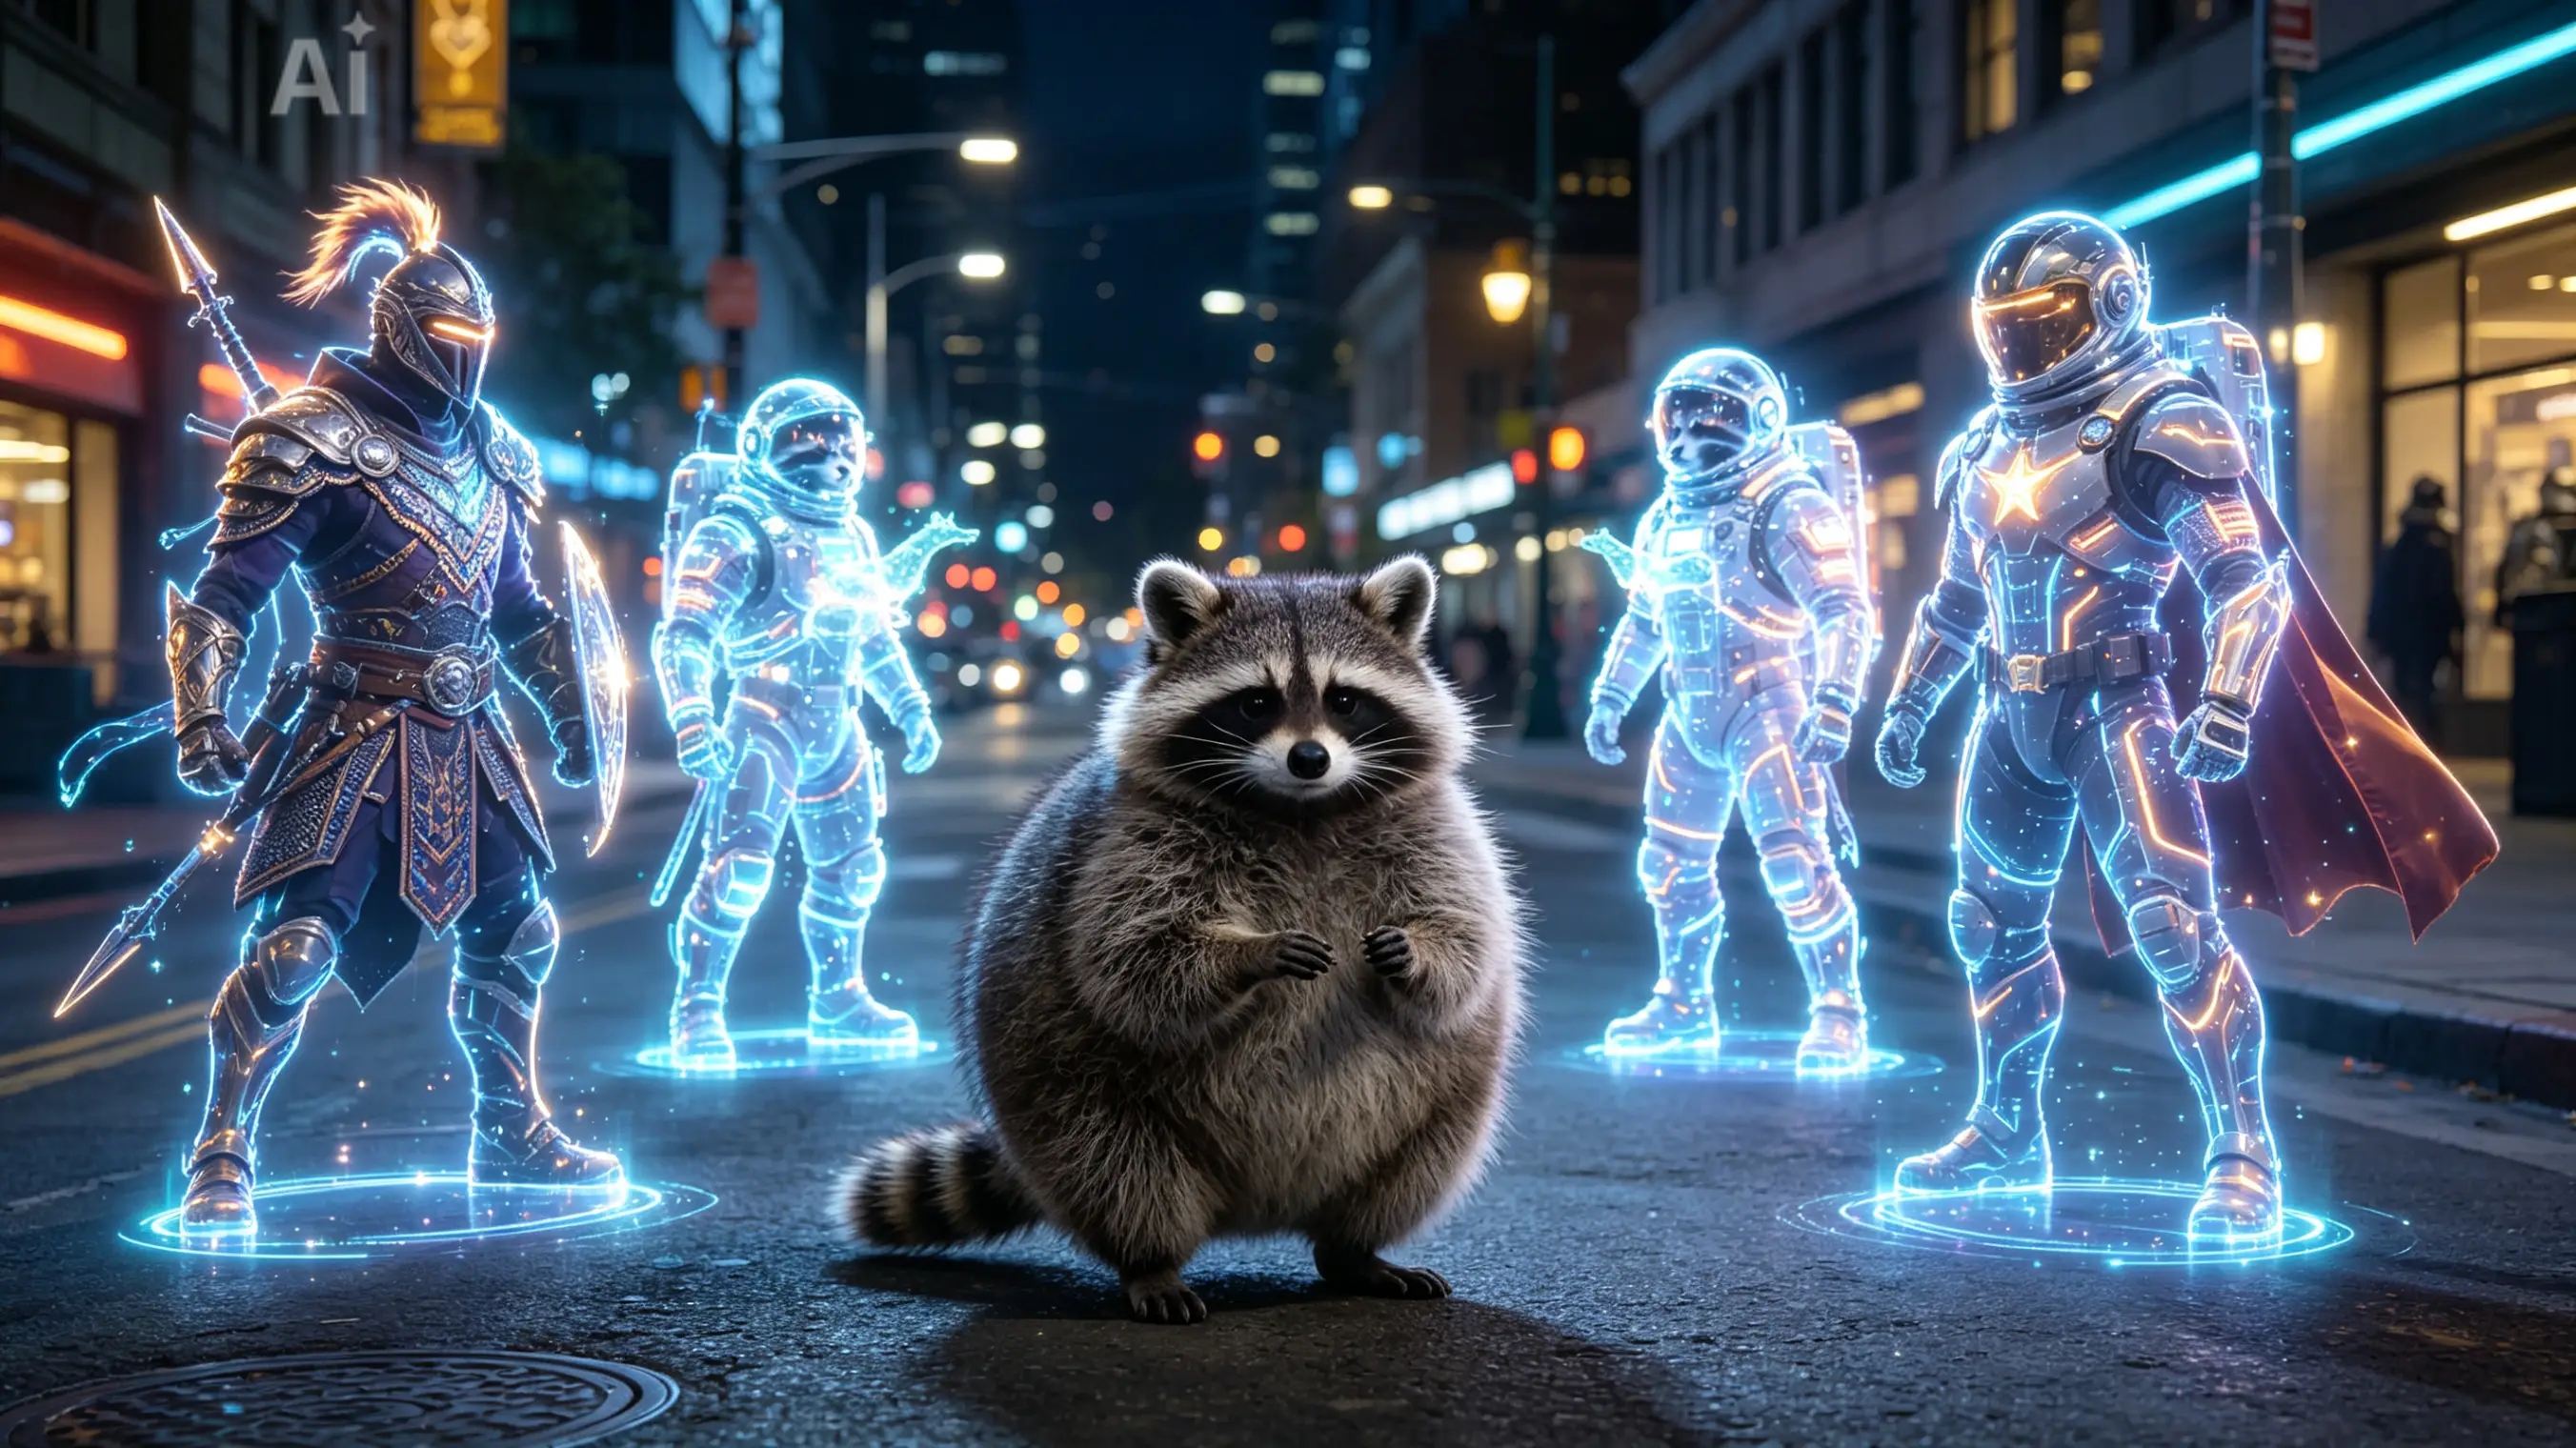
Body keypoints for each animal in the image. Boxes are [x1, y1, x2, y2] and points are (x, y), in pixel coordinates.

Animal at [841, 555, 1525, 1324]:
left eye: (1345, 700)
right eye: (1255, 703)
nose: (1310, 758)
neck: (1300, 811)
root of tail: (1264, 1208)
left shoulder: (1439, 830)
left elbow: (1466, 939)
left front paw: (1415, 954)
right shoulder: (1127, 844)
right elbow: (1134, 959)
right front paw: (1247, 954)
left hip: (1442, 1105)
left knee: (1420, 1160)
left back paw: (1356, 1250)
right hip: (1068, 1094)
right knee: (1114, 1170)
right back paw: (1151, 1263)